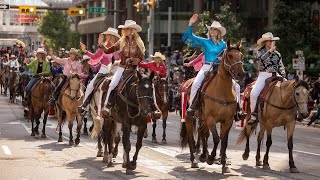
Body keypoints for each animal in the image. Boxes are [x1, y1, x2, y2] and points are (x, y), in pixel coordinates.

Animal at [179, 39, 244, 173]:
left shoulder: (227, 121)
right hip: (189, 118)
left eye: (241, 56)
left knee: (203, 134)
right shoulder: (211, 119)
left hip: (202, 119)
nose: (241, 74)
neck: (222, 91)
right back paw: (194, 160)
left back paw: (203, 155)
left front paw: (223, 163)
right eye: (230, 55)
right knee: (191, 138)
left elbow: (223, 141)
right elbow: (216, 138)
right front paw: (211, 158)